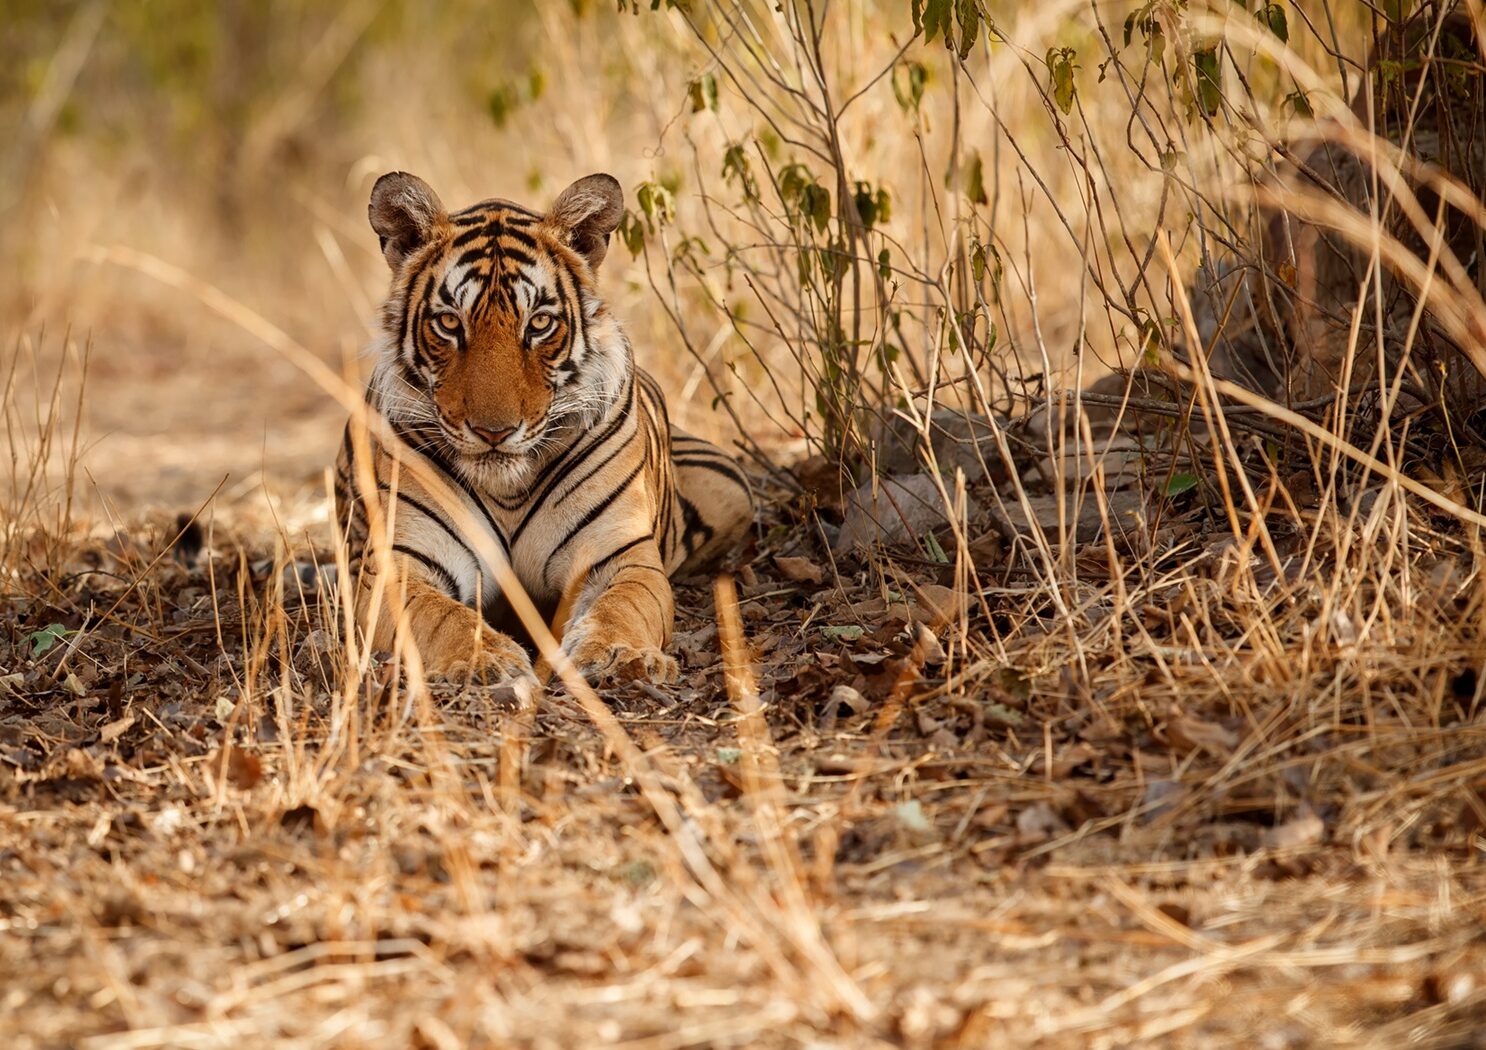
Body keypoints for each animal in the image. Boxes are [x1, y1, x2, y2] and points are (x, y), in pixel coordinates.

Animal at [334, 171, 754, 689]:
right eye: (450, 322)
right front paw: (487, 659)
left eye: (539, 324)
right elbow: (441, 617)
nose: (494, 432)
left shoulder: (619, 555)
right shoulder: (399, 563)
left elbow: (624, 607)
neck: (507, 489)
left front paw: (619, 655)